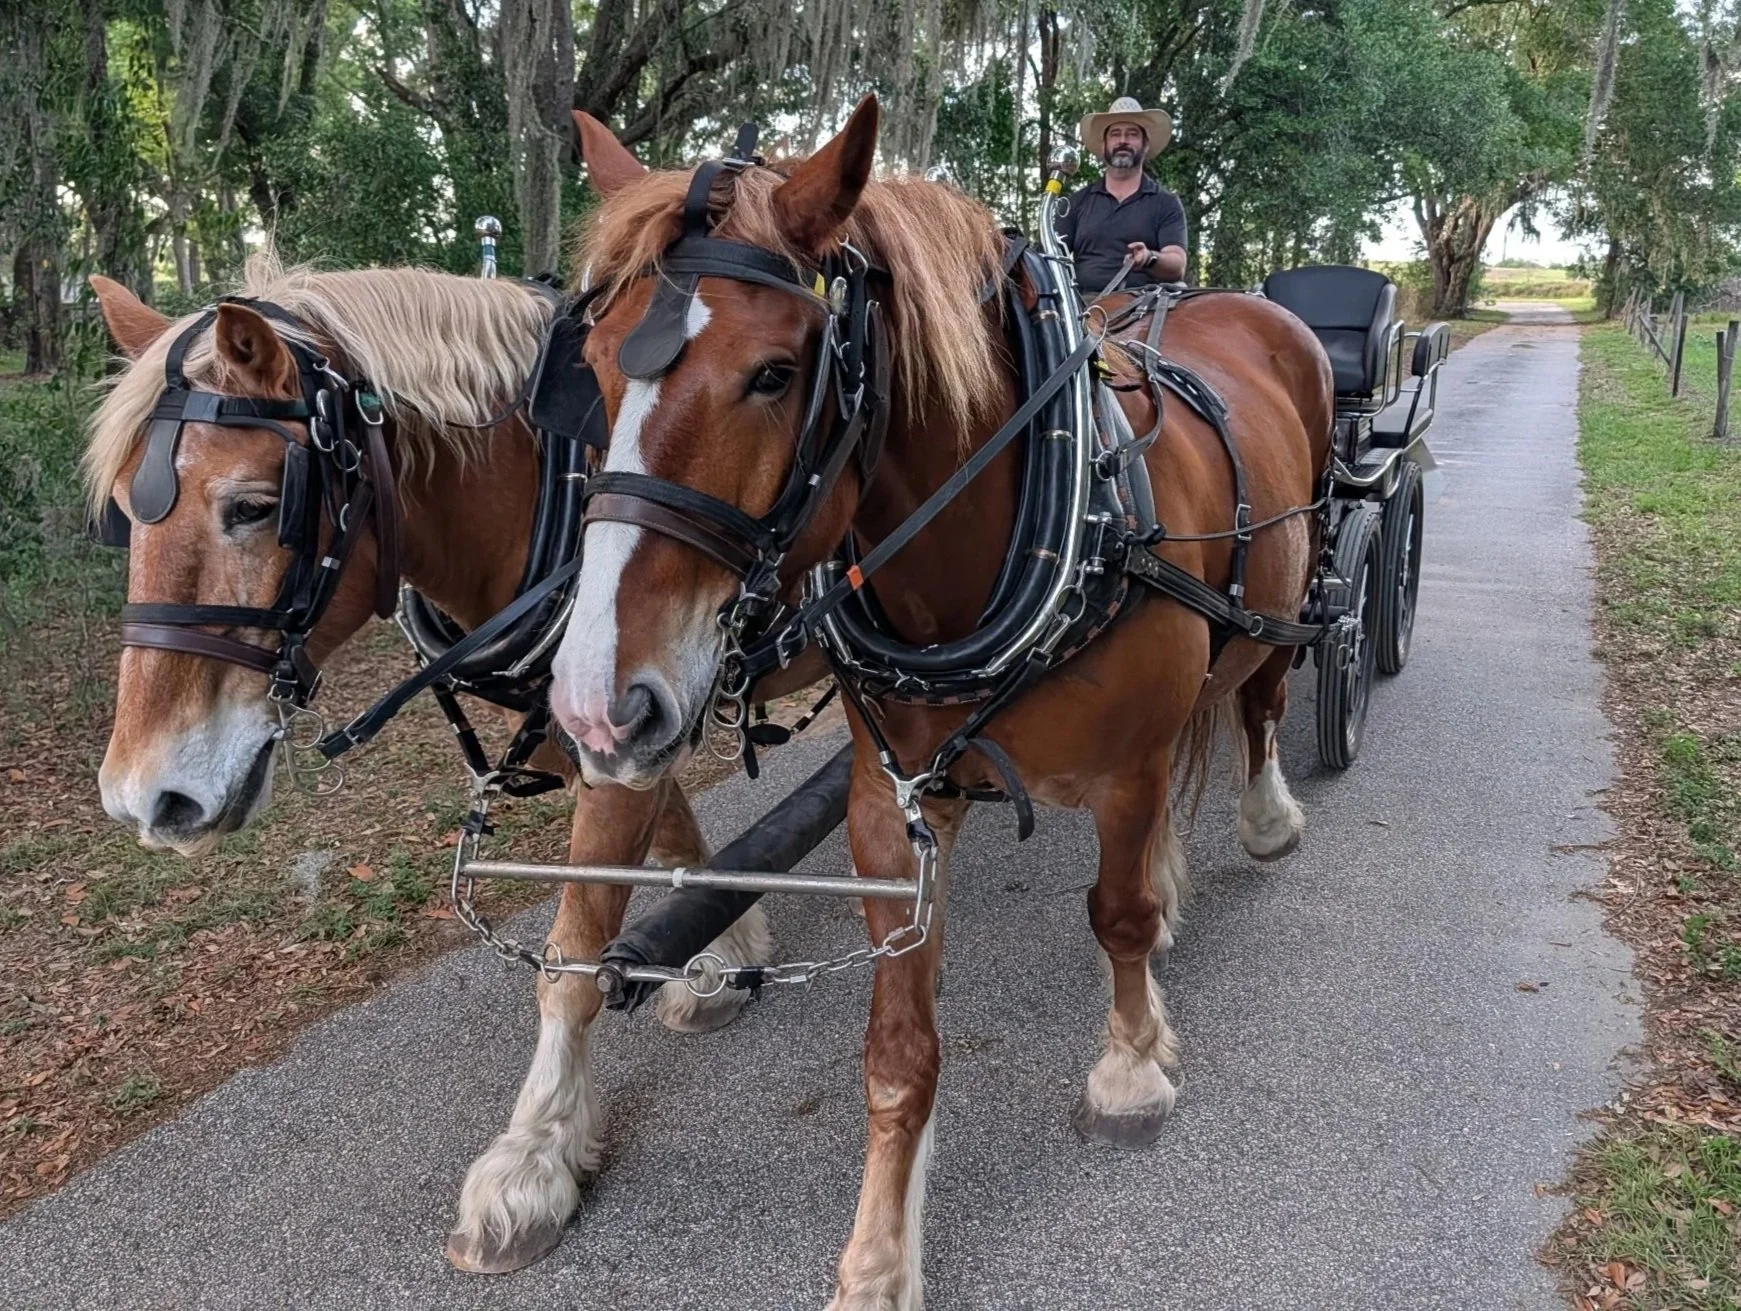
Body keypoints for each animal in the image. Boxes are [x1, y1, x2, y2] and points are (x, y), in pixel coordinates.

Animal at [80, 257, 824, 1270]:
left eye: (254, 507)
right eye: (126, 516)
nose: (144, 795)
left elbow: (573, 952)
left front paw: (534, 1158)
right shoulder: (627, 713)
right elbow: (668, 831)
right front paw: (725, 946)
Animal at [536, 97, 1334, 1307]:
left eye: (774, 373)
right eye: (588, 361)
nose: (595, 705)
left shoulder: (1129, 769)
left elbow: (1114, 915)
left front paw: (1129, 1067)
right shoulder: (893, 797)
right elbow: (898, 1050)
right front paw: (877, 1255)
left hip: (1289, 586)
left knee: (1260, 703)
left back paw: (1267, 817)